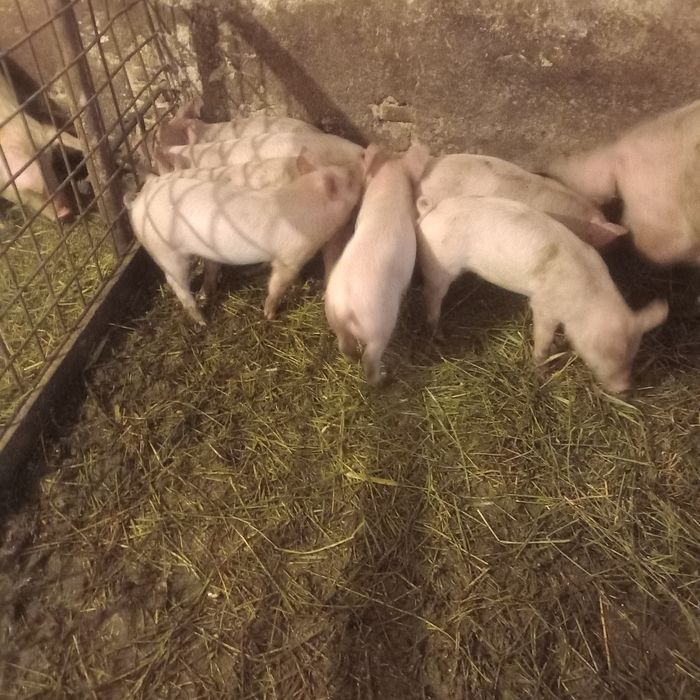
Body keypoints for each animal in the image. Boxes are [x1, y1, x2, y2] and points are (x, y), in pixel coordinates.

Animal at [125, 150, 363, 326]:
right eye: (350, 180)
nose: (360, 163)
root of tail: (137, 203)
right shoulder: (290, 257)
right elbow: (278, 284)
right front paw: (269, 314)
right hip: (166, 252)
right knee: (177, 284)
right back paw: (203, 321)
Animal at [325, 143, 431, 385]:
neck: (388, 191)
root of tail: (345, 306)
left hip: (333, 318)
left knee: (344, 345)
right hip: (379, 325)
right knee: (370, 359)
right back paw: (383, 378)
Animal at [416, 195, 668, 393]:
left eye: (633, 355)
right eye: (604, 358)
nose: (624, 390)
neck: (586, 299)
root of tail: (431, 208)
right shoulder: (544, 306)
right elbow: (542, 340)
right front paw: (542, 374)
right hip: (439, 267)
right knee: (431, 297)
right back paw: (438, 335)